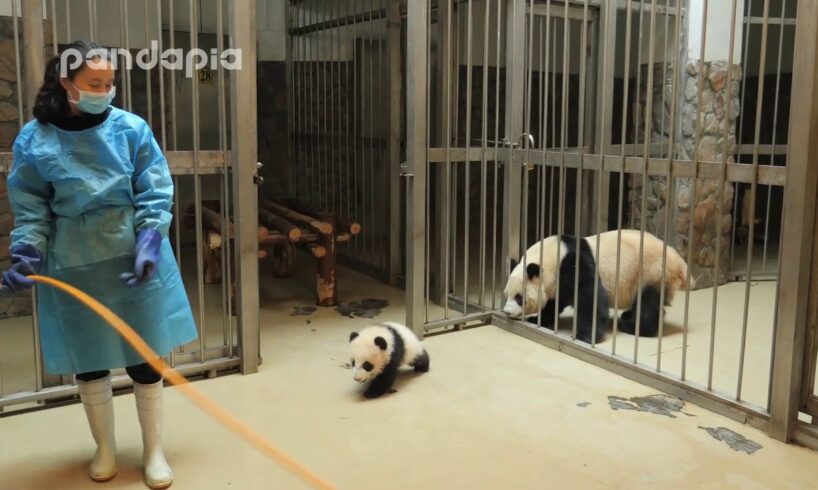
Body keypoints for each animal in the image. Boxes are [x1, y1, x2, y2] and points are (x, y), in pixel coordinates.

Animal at [504, 230, 688, 340]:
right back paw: (628, 316)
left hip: (652, 272)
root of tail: (679, 263)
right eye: (506, 295)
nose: (506, 312)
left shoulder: (574, 263)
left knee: (648, 303)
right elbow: (555, 302)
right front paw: (538, 319)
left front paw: (584, 336)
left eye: (519, 298)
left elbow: (589, 297)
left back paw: (632, 327)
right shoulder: (558, 283)